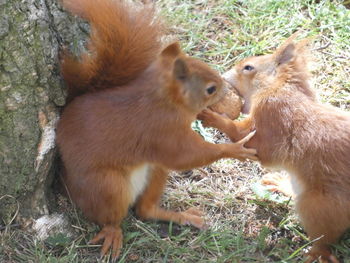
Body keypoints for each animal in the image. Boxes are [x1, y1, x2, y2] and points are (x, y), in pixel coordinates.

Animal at [56, 0, 256, 260]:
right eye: (211, 89)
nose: (226, 86)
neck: (162, 99)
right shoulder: (161, 132)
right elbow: (186, 156)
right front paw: (234, 149)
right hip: (106, 186)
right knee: (111, 215)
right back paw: (112, 232)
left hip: (155, 170)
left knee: (145, 209)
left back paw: (182, 217)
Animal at [198, 35, 350, 263]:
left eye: (248, 67)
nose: (221, 76)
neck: (280, 86)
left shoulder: (272, 117)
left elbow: (245, 138)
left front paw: (211, 116)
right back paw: (281, 184)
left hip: (319, 206)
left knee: (324, 239)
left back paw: (317, 254)